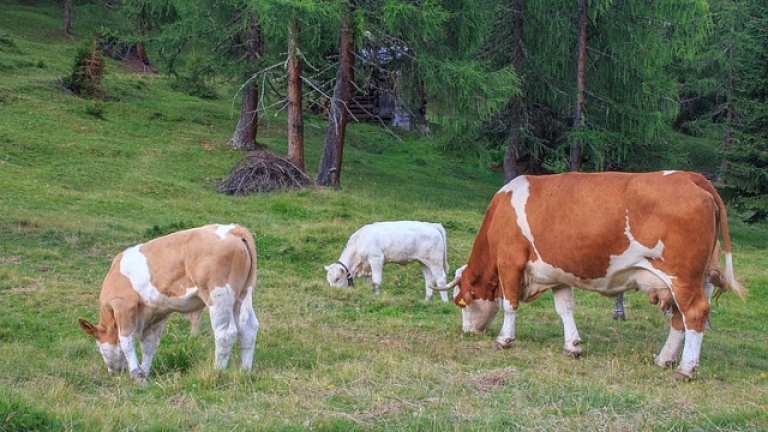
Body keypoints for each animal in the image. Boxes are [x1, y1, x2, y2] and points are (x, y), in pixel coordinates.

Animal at [78, 224, 260, 380]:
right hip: (241, 295)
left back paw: (217, 371)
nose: (112, 372)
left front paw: (136, 374)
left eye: (98, 347)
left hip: (219, 296)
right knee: (248, 329)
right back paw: (245, 370)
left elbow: (126, 342)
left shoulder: (124, 305)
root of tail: (232, 229)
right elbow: (149, 345)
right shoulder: (157, 312)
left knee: (225, 333)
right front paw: (145, 373)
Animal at [440, 170, 748, 380]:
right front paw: (572, 346)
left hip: (681, 278)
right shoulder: (559, 273)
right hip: (696, 280)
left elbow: (509, 304)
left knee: (694, 314)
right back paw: (665, 359)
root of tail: (691, 177)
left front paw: (504, 339)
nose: (467, 331)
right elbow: (565, 308)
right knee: (679, 319)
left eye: (462, 303)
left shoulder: (510, 262)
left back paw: (685, 368)